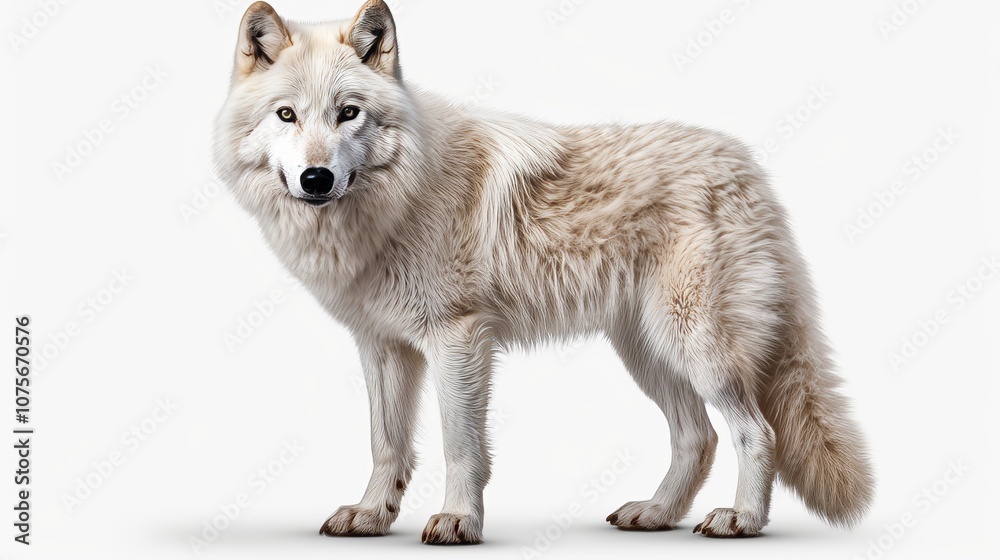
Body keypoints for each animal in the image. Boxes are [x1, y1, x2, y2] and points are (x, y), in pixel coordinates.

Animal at [213, 0, 874, 544]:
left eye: (348, 113)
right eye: (286, 115)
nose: (316, 179)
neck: (394, 202)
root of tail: (748, 168)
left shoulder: (459, 339)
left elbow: (460, 444)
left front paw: (458, 520)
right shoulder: (382, 346)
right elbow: (386, 443)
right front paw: (373, 516)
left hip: (697, 348)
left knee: (756, 433)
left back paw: (741, 520)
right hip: (648, 352)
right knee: (698, 436)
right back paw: (657, 514)